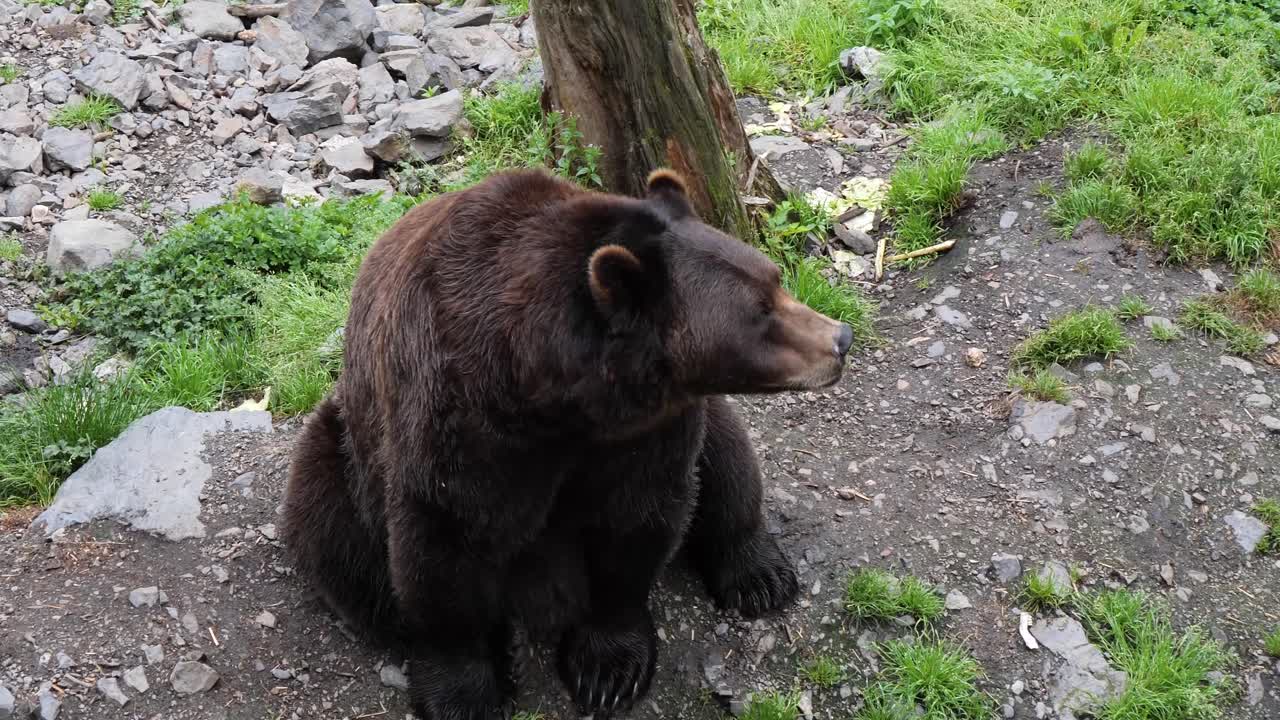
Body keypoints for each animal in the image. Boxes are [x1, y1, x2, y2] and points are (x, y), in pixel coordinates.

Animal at [280, 167, 855, 720]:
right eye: (760, 311)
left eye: (774, 279)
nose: (840, 338)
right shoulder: (457, 418)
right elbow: (443, 543)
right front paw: (464, 693)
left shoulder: (645, 431)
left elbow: (635, 520)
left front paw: (608, 670)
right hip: (345, 448)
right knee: (337, 535)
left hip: (709, 416)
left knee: (728, 464)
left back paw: (758, 574)